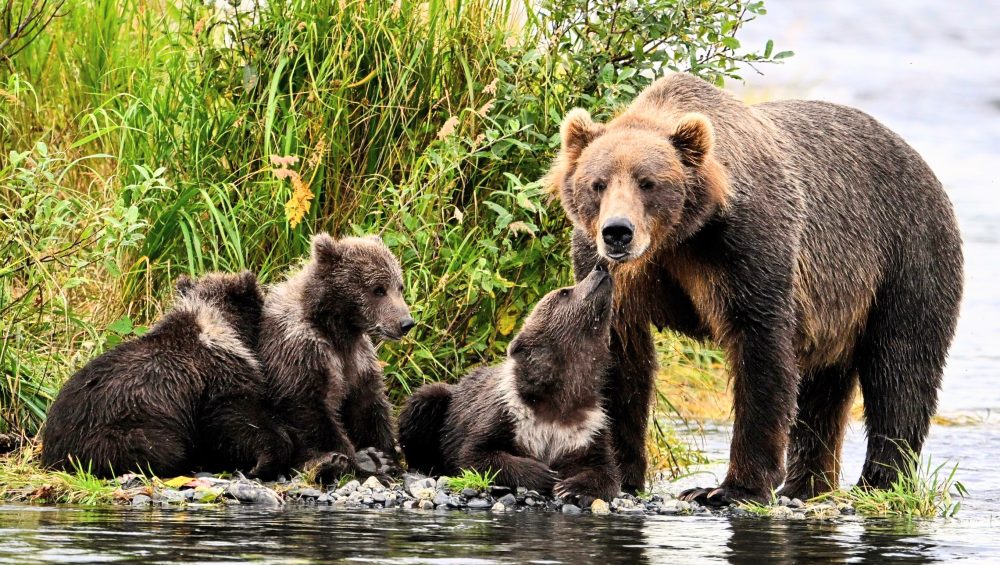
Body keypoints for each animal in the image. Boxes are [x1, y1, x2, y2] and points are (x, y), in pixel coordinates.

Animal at [258, 233, 414, 483]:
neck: (338, 328)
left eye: (399, 286)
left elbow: (368, 404)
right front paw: (364, 460)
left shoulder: (359, 359)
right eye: (378, 289)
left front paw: (387, 456)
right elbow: (309, 407)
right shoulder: (301, 350)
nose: (406, 323)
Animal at [398, 265, 621, 503]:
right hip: (444, 401)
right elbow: (475, 453)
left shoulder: (588, 427)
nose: (600, 269)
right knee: (424, 402)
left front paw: (571, 487)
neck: (560, 394)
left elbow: (605, 470)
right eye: (564, 292)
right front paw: (544, 474)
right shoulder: (508, 411)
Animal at [547, 72, 963, 504]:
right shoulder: (613, 273)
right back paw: (808, 485)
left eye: (649, 183)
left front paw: (730, 488)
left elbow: (761, 348)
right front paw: (605, 477)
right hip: (838, 308)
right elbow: (616, 359)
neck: (678, 237)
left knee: (901, 367)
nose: (618, 232)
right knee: (824, 390)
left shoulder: (743, 248)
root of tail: (917, 159)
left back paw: (880, 481)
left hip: (906, 255)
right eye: (597, 184)